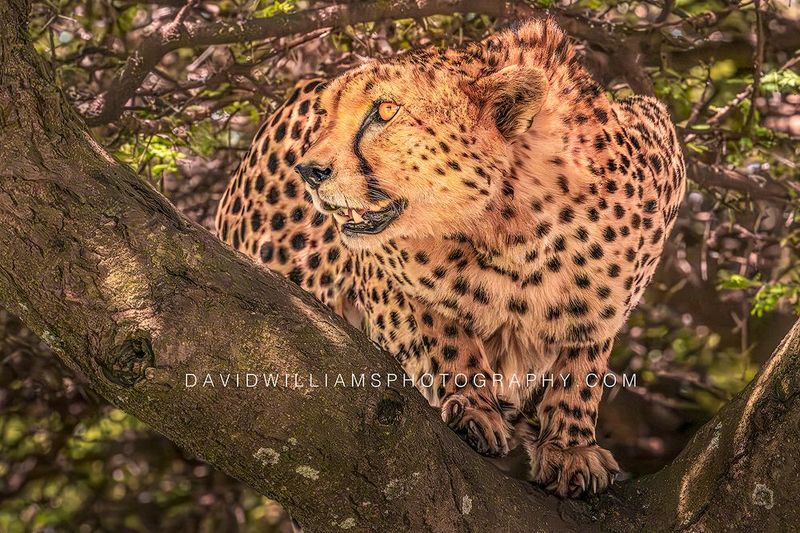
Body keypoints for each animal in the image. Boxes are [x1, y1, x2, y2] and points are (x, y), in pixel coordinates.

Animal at [215, 18, 686, 498]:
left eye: (386, 111)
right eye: (326, 116)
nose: (309, 171)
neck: (516, 232)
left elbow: (582, 363)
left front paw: (571, 447)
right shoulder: (399, 275)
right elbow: (443, 326)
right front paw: (474, 406)